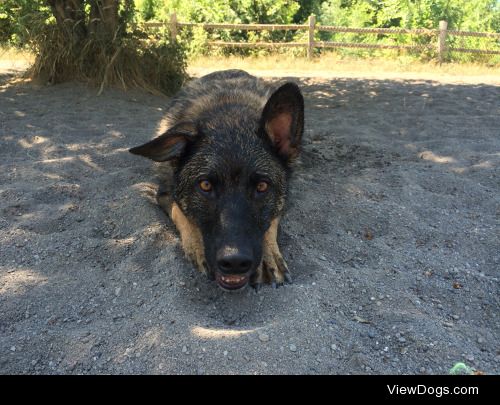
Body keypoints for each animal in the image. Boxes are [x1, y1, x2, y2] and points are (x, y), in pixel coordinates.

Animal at [129, 70, 304, 290]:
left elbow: (272, 221)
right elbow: (180, 211)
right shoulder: (164, 192)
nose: (235, 262)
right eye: (205, 185)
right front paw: (196, 246)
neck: (229, 118)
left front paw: (269, 255)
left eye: (262, 186)